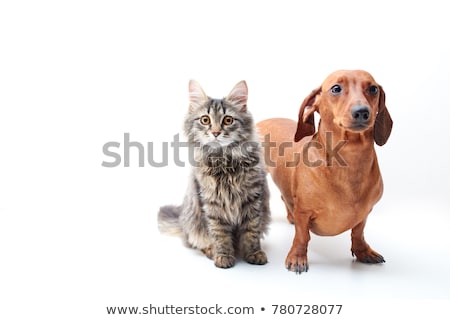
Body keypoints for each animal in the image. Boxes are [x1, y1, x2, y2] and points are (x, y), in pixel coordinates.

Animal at [158, 79, 270, 268]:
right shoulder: (211, 203)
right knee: (197, 241)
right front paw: (223, 256)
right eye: (205, 120)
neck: (224, 163)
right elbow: (219, 234)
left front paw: (254, 253)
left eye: (228, 120)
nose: (216, 132)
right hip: (193, 223)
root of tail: (181, 221)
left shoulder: (253, 198)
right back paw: (211, 251)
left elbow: (251, 231)